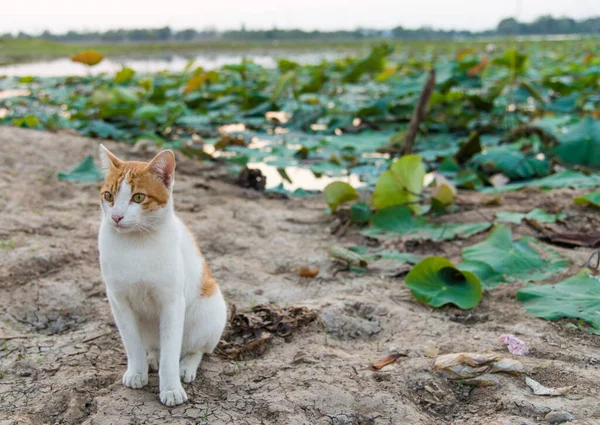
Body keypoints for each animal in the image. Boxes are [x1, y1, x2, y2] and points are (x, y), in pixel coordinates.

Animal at [97, 144, 226, 406]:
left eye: (138, 197)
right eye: (109, 196)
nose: (116, 217)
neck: (135, 245)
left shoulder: (172, 303)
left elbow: (170, 353)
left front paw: (170, 388)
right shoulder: (119, 302)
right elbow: (132, 344)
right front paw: (137, 372)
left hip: (210, 311)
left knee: (195, 349)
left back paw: (185, 367)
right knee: (155, 346)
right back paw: (152, 358)